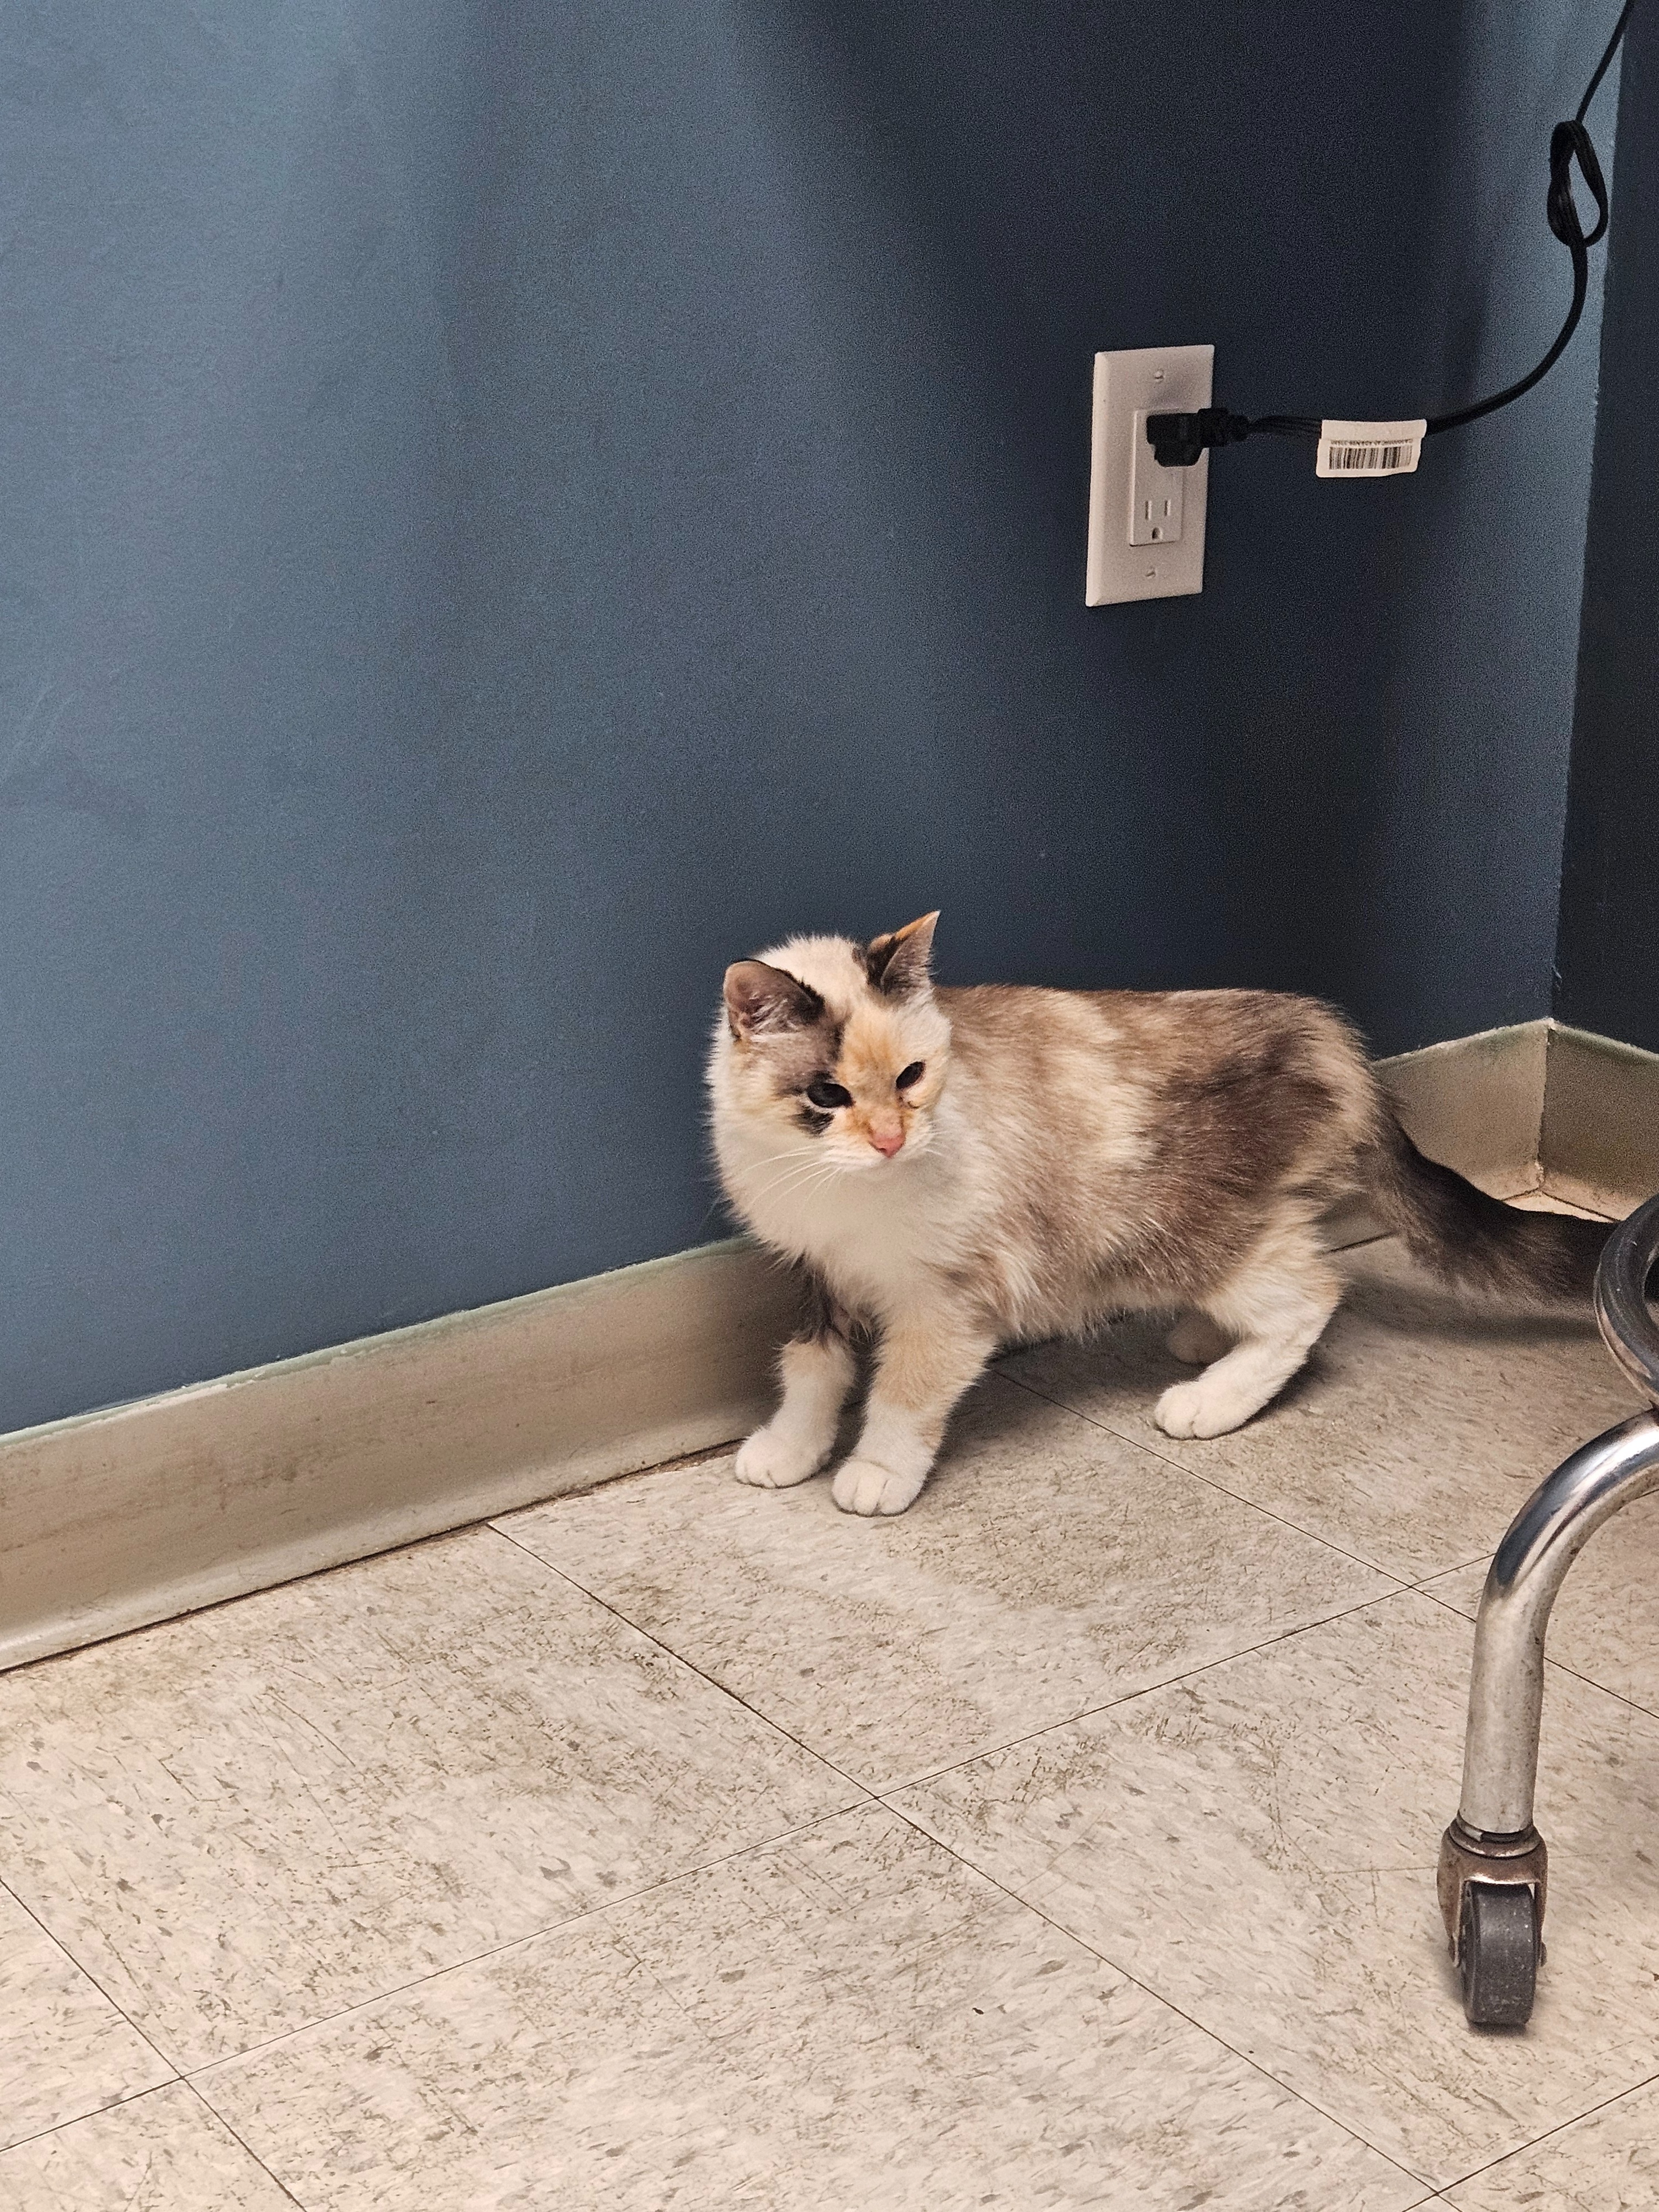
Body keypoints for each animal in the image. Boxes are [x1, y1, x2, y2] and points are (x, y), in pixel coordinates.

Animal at [707, 912, 1607, 1517]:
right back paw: (1205, 1340)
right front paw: (791, 1447)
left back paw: (1210, 1399)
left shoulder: (947, 1300)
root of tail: (1331, 1036)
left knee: (1310, 1295)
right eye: (828, 1095)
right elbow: (811, 1367)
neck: (837, 1190)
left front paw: (876, 1472)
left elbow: (903, 1392)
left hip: (1179, 1231)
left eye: (912, 1077)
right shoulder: (818, 1271)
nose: (893, 1140)